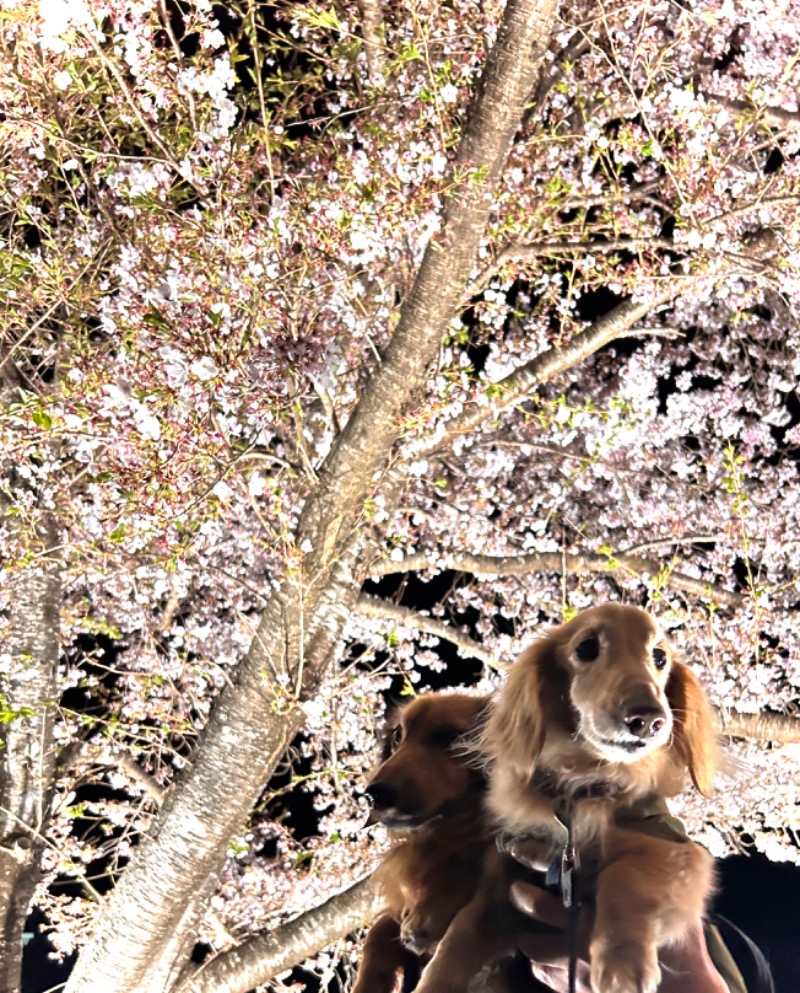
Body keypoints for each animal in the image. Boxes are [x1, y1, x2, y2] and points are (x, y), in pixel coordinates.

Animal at [416, 600, 716, 992]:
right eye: (586, 647)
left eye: (660, 656)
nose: (649, 720)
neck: (580, 792)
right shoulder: (503, 882)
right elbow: (459, 939)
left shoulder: (677, 851)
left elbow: (626, 875)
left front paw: (623, 963)